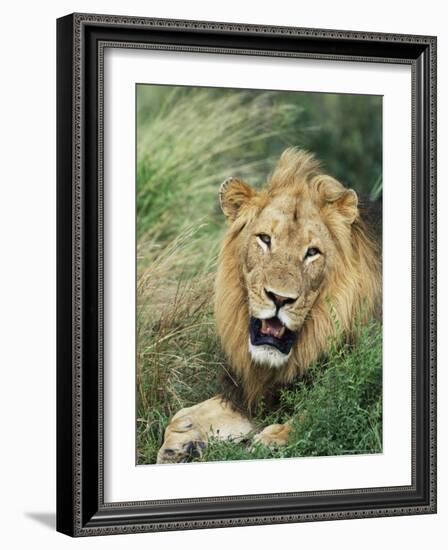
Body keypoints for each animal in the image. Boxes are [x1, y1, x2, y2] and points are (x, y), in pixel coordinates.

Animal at [156, 148, 380, 466]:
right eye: (264, 239)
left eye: (312, 252)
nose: (280, 298)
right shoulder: (256, 394)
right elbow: (182, 415)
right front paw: (182, 442)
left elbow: (319, 415)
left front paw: (272, 441)